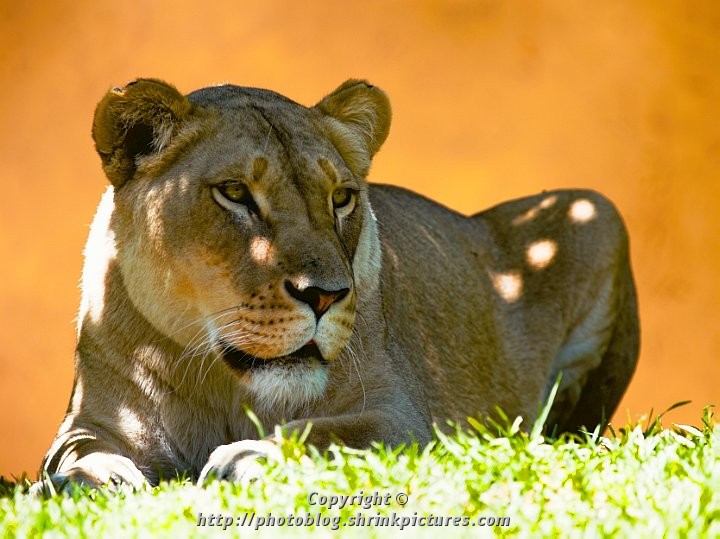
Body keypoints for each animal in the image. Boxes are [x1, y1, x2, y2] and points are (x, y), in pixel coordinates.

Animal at [35, 78, 638, 491]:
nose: (324, 295)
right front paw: (94, 478)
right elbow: (73, 454)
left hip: (595, 210)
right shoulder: (89, 418)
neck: (225, 386)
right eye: (235, 193)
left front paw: (247, 456)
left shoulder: (402, 419)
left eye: (341, 198)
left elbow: (320, 432)